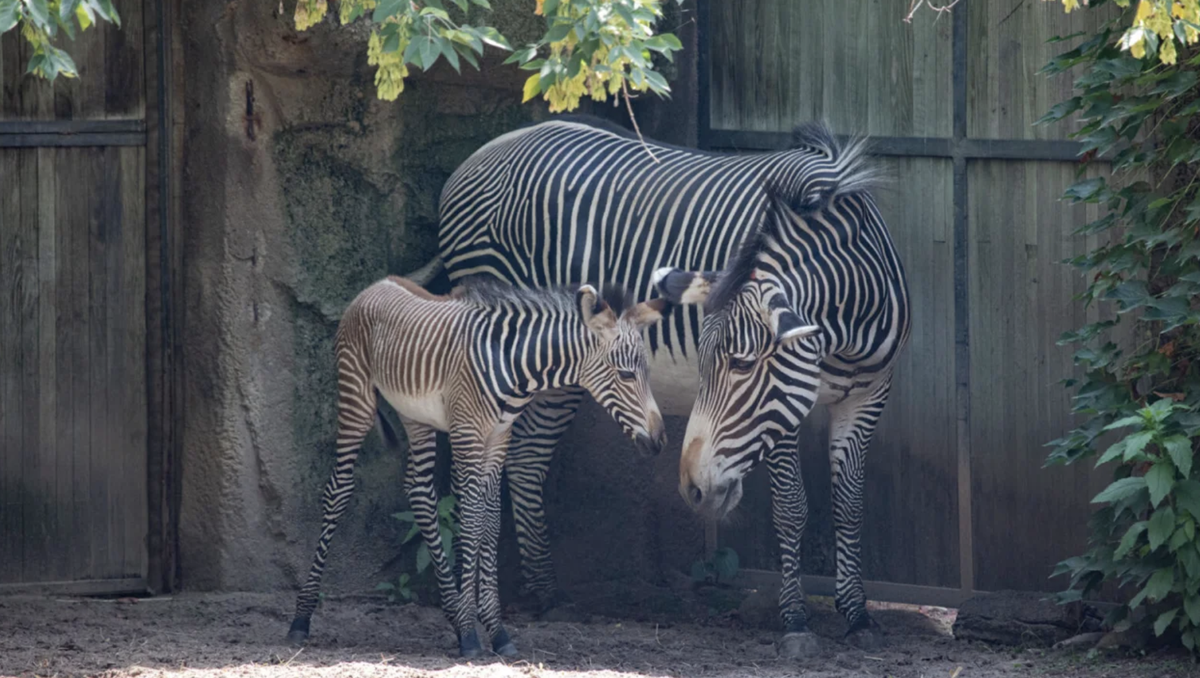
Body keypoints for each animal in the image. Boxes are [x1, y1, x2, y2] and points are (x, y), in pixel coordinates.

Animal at [286, 273, 672, 657]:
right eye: (626, 375)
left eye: (647, 371)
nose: (658, 442)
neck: (516, 367)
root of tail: (377, 284)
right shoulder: (469, 433)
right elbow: (471, 519)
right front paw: (472, 632)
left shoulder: (498, 438)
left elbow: (491, 519)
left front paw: (493, 630)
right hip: (357, 397)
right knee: (338, 490)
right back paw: (301, 619)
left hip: (415, 415)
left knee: (420, 491)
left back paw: (451, 610)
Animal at [427, 113, 902, 652]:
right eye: (707, 364)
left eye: (741, 365)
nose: (693, 487)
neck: (847, 324)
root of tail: (481, 154)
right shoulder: (785, 402)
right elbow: (792, 507)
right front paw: (797, 620)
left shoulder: (869, 396)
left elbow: (850, 506)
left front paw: (857, 615)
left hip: (559, 366)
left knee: (526, 460)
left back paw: (548, 594)